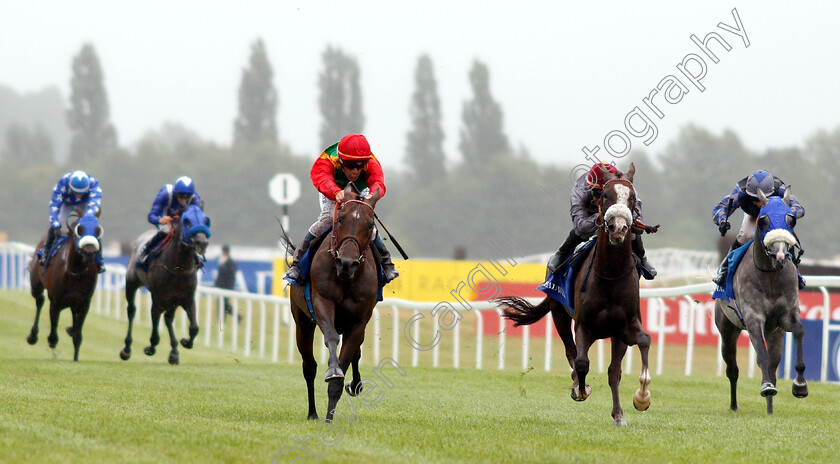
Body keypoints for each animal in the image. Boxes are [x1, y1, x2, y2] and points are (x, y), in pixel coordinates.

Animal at [26, 212, 102, 360]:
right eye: (80, 229)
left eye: (98, 230)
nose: (89, 252)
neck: (75, 270)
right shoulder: (56, 301)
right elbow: (53, 331)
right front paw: (52, 340)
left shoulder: (84, 303)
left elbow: (77, 335)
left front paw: (75, 359)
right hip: (35, 285)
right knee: (39, 301)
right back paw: (33, 335)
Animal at [118, 205, 210, 364]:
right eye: (187, 221)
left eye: (205, 220)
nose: (202, 242)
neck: (178, 268)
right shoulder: (158, 297)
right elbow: (155, 321)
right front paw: (151, 347)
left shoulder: (186, 298)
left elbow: (194, 328)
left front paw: (185, 342)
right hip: (131, 283)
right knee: (132, 311)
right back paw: (127, 349)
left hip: (172, 300)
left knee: (168, 318)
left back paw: (174, 352)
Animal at [288, 185, 380, 420]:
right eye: (341, 220)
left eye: (370, 225)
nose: (346, 263)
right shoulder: (322, 302)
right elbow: (331, 340)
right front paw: (333, 371)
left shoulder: (358, 322)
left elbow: (348, 358)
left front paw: (330, 417)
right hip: (302, 321)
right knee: (309, 366)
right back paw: (312, 412)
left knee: (356, 352)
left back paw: (355, 385)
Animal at [496, 164, 652, 428]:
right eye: (606, 196)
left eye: (632, 198)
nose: (619, 228)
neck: (610, 275)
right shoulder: (583, 324)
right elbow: (581, 361)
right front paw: (581, 389)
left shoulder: (625, 325)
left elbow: (641, 343)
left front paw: (641, 399)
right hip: (559, 313)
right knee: (571, 352)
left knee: (613, 371)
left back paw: (618, 414)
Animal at [716, 188, 808, 414]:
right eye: (764, 220)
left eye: (791, 219)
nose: (781, 254)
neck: (770, 276)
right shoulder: (753, 318)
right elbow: (761, 357)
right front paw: (766, 386)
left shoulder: (786, 316)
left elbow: (799, 331)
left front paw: (800, 385)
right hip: (727, 331)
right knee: (733, 369)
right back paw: (734, 405)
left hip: (775, 333)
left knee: (774, 365)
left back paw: (770, 408)